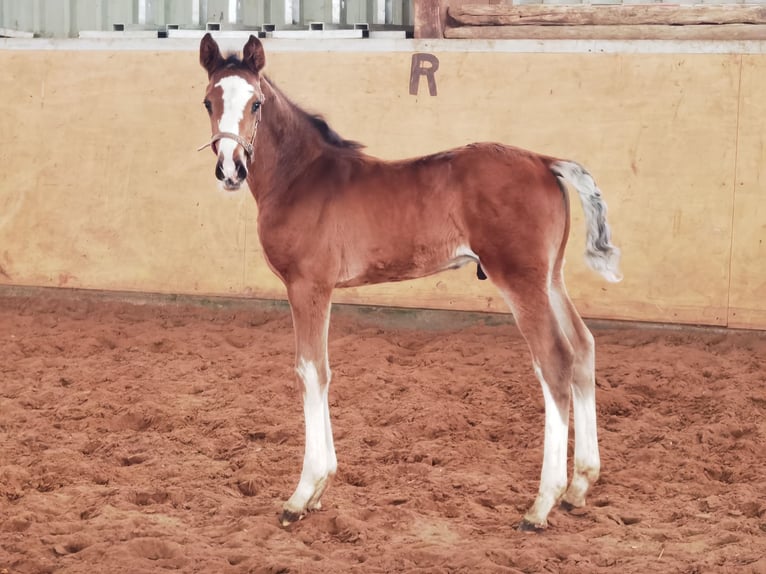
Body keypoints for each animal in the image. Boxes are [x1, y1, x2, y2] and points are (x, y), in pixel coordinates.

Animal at [200, 33, 624, 532]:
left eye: (257, 103)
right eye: (208, 101)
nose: (230, 169)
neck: (300, 177)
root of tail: (545, 161)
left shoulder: (308, 286)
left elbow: (312, 371)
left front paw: (303, 493)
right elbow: (321, 372)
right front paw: (321, 489)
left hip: (521, 281)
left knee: (555, 362)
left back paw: (541, 505)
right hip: (551, 279)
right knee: (583, 348)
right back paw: (579, 486)